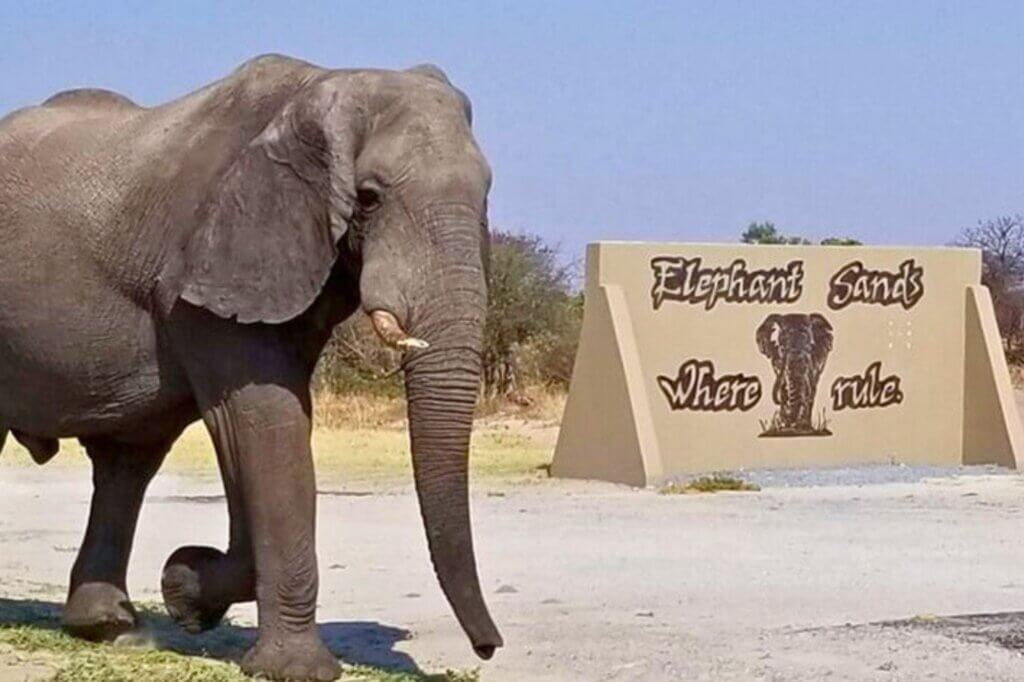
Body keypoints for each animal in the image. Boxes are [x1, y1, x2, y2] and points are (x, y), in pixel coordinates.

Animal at [0, 54, 501, 681]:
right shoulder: (208, 270)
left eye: (487, 194)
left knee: (129, 460)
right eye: (367, 197)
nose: (489, 648)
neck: (321, 87)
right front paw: (295, 670)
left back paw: (107, 627)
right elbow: (267, 425)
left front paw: (184, 588)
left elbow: (268, 431)